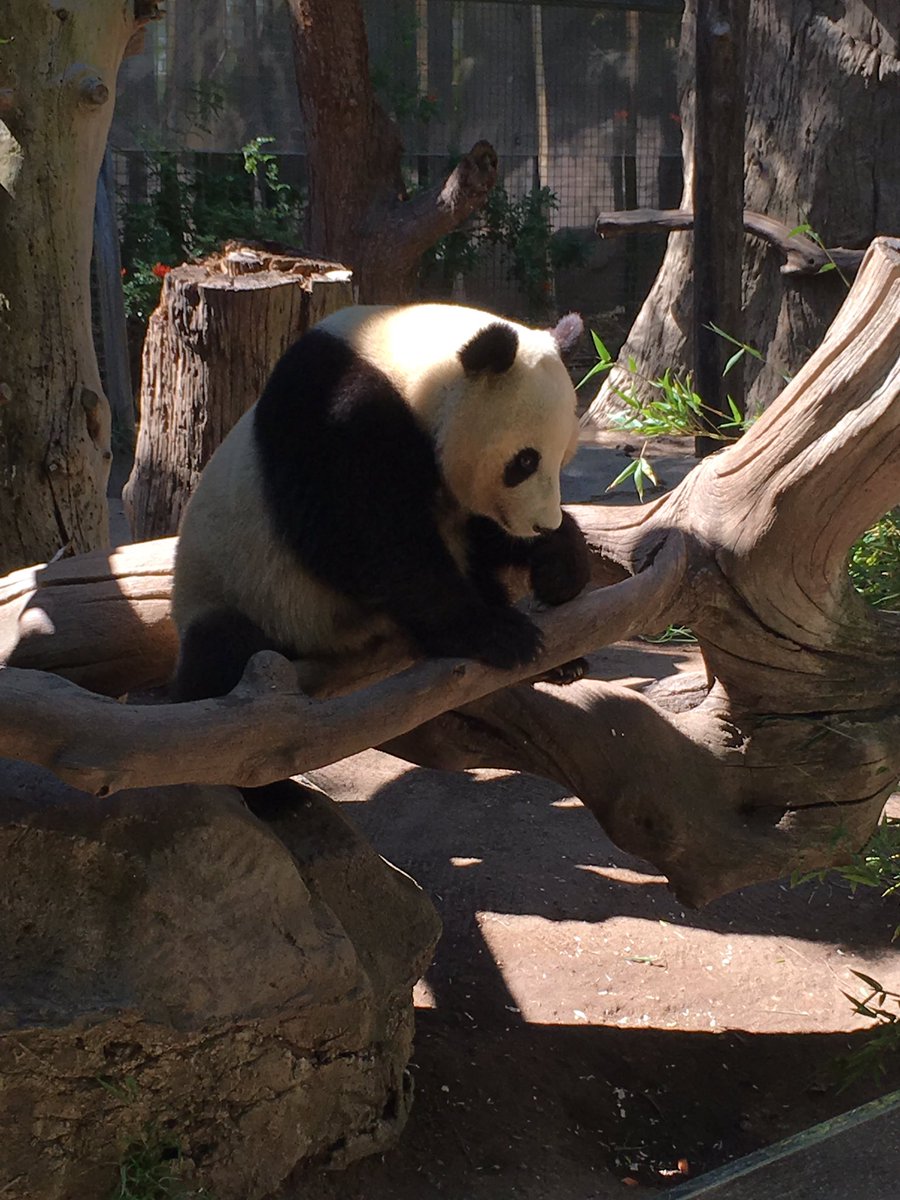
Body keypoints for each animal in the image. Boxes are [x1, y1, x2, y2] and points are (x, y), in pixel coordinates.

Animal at [171, 302, 591, 704]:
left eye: (564, 458)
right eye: (525, 462)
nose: (541, 525)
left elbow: (478, 533)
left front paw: (558, 565)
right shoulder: (335, 419)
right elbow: (368, 540)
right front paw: (496, 634)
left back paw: (565, 664)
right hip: (241, 593)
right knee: (223, 647)